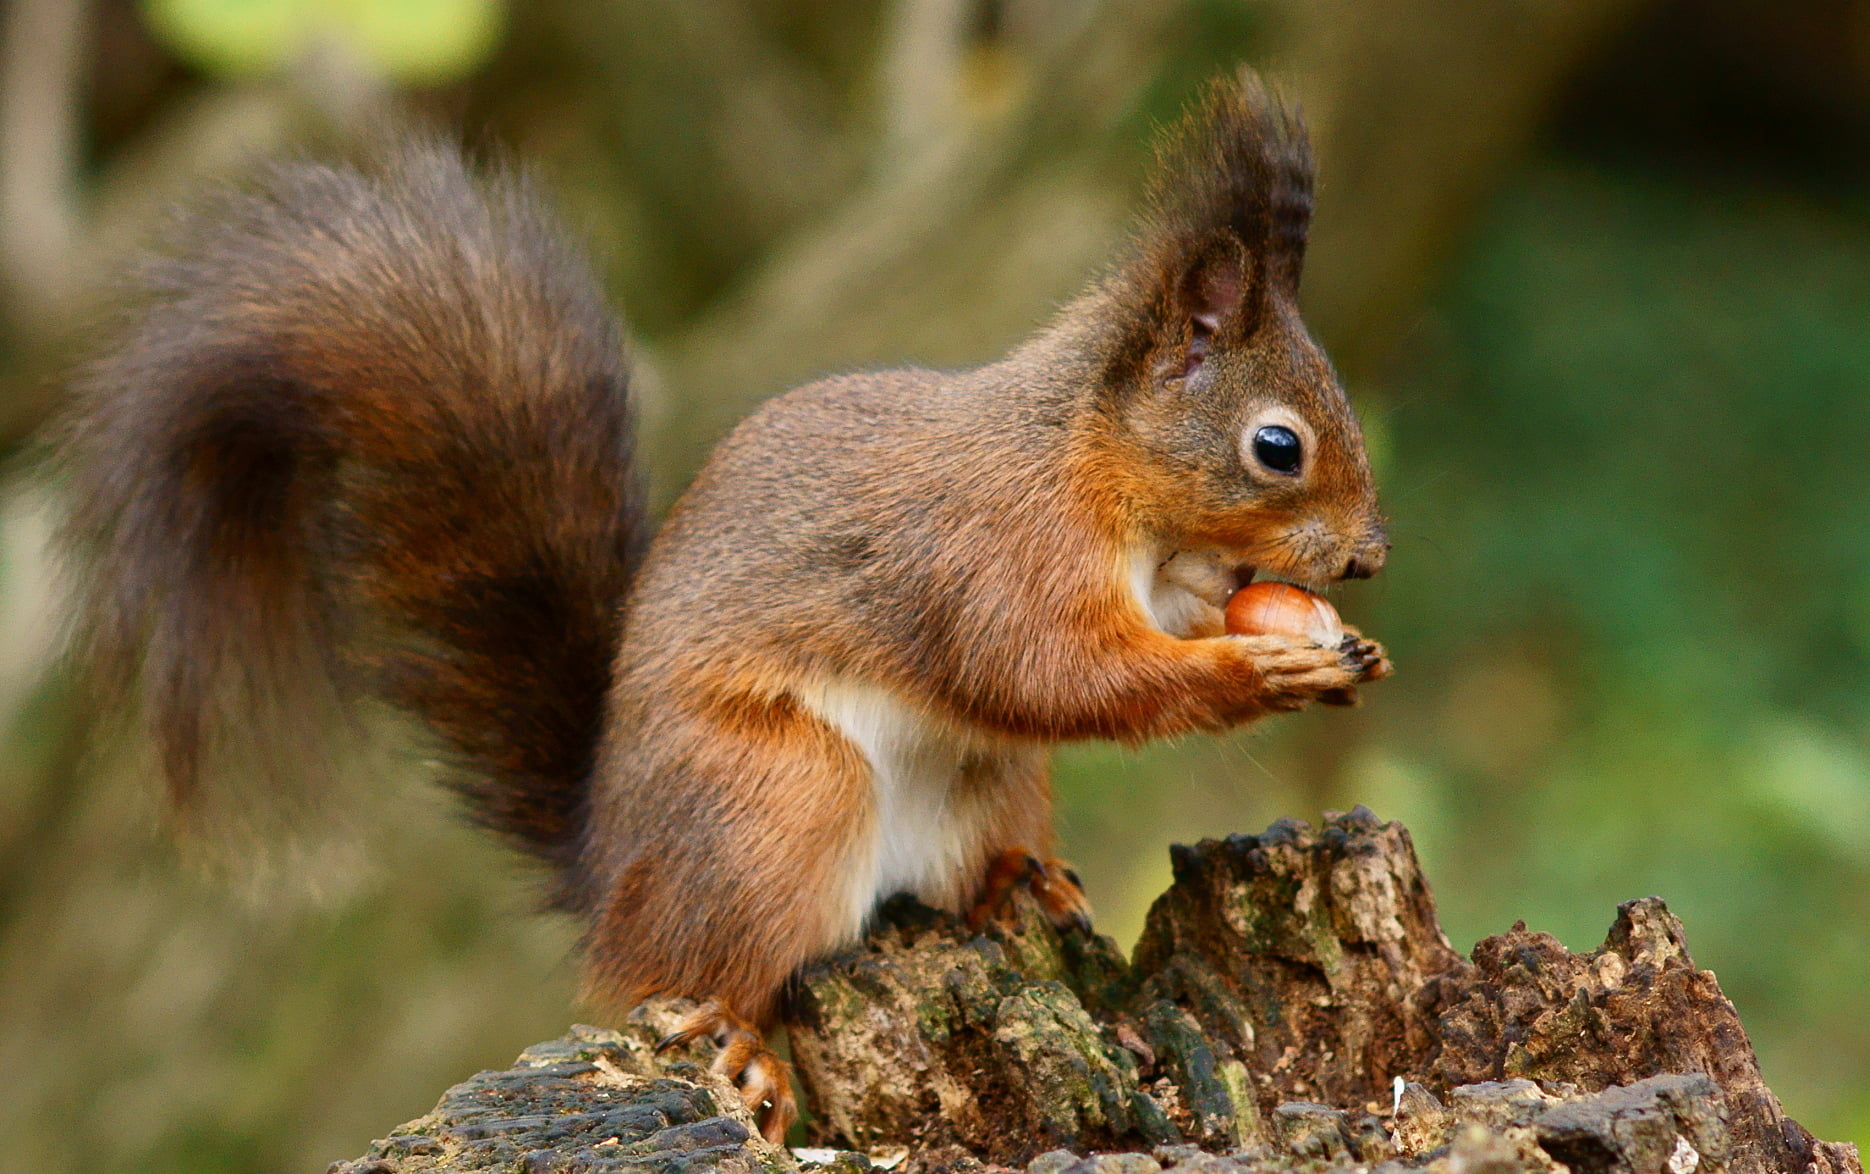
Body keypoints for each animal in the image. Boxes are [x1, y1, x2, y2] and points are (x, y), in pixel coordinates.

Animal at [58, 68, 1391, 1144]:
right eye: (1276, 446)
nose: (1372, 554)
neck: (1097, 477)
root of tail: (608, 867)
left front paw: (1327, 646)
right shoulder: (988, 554)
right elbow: (1052, 673)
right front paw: (1263, 671)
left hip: (985, 781)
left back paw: (1018, 880)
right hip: (775, 795)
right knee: (705, 968)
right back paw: (742, 1041)